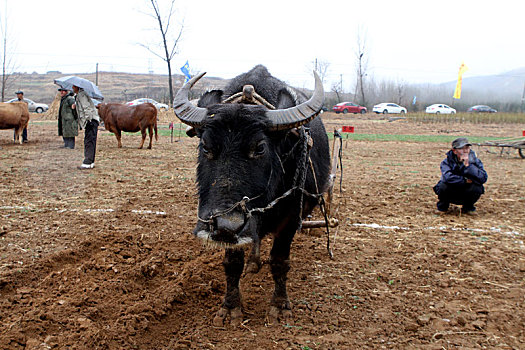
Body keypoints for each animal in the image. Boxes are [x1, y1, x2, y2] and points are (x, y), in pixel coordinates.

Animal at [172, 65, 328, 326]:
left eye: (260, 148)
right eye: (205, 146)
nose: (225, 225)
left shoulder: (289, 220)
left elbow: (279, 261)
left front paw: (279, 307)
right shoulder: (231, 233)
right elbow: (232, 263)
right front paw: (230, 307)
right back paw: (253, 264)